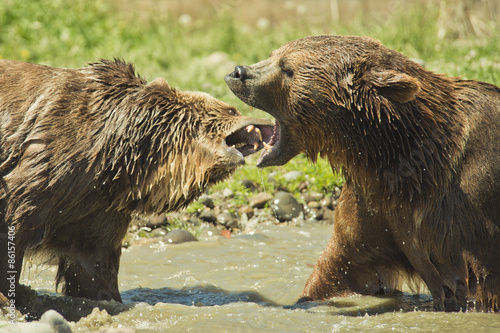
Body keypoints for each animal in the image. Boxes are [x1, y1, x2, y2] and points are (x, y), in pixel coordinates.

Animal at [0, 58, 274, 302]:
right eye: (232, 110)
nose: (268, 122)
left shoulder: (95, 210)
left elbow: (93, 265)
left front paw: (108, 298)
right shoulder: (47, 165)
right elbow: (15, 226)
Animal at [226, 35, 500, 310]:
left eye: (287, 68)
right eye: (274, 54)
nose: (238, 72)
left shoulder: (462, 211)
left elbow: (472, 282)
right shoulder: (374, 204)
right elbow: (342, 264)